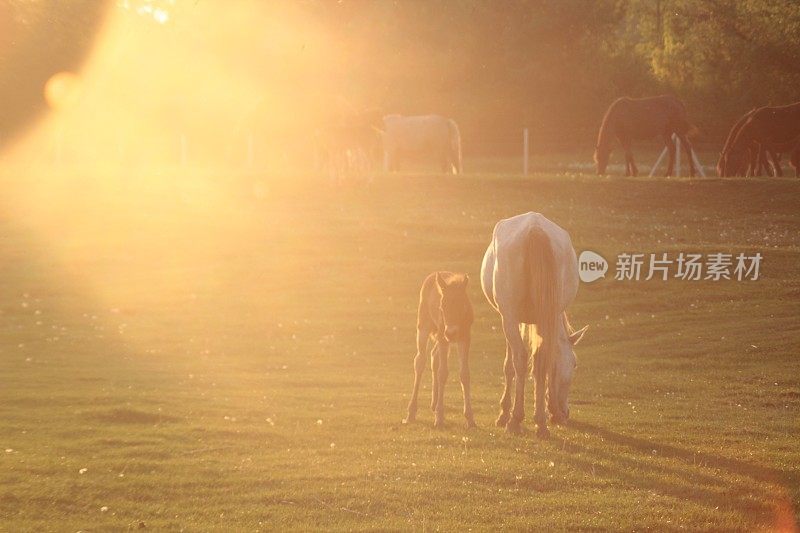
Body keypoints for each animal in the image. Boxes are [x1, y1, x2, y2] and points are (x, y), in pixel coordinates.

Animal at [406, 272, 476, 426]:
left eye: (461, 305)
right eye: (442, 306)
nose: (451, 333)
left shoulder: (465, 338)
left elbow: (465, 374)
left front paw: (470, 418)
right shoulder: (444, 337)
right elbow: (443, 373)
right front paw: (439, 417)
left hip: (441, 335)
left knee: (434, 356)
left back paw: (433, 403)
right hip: (425, 326)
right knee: (420, 361)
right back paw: (412, 412)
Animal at [482, 212, 588, 436]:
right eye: (575, 363)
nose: (565, 412)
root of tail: (535, 228)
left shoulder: (511, 318)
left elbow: (511, 364)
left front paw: (505, 412)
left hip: (510, 316)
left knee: (521, 358)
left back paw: (516, 419)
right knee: (541, 358)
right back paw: (539, 423)